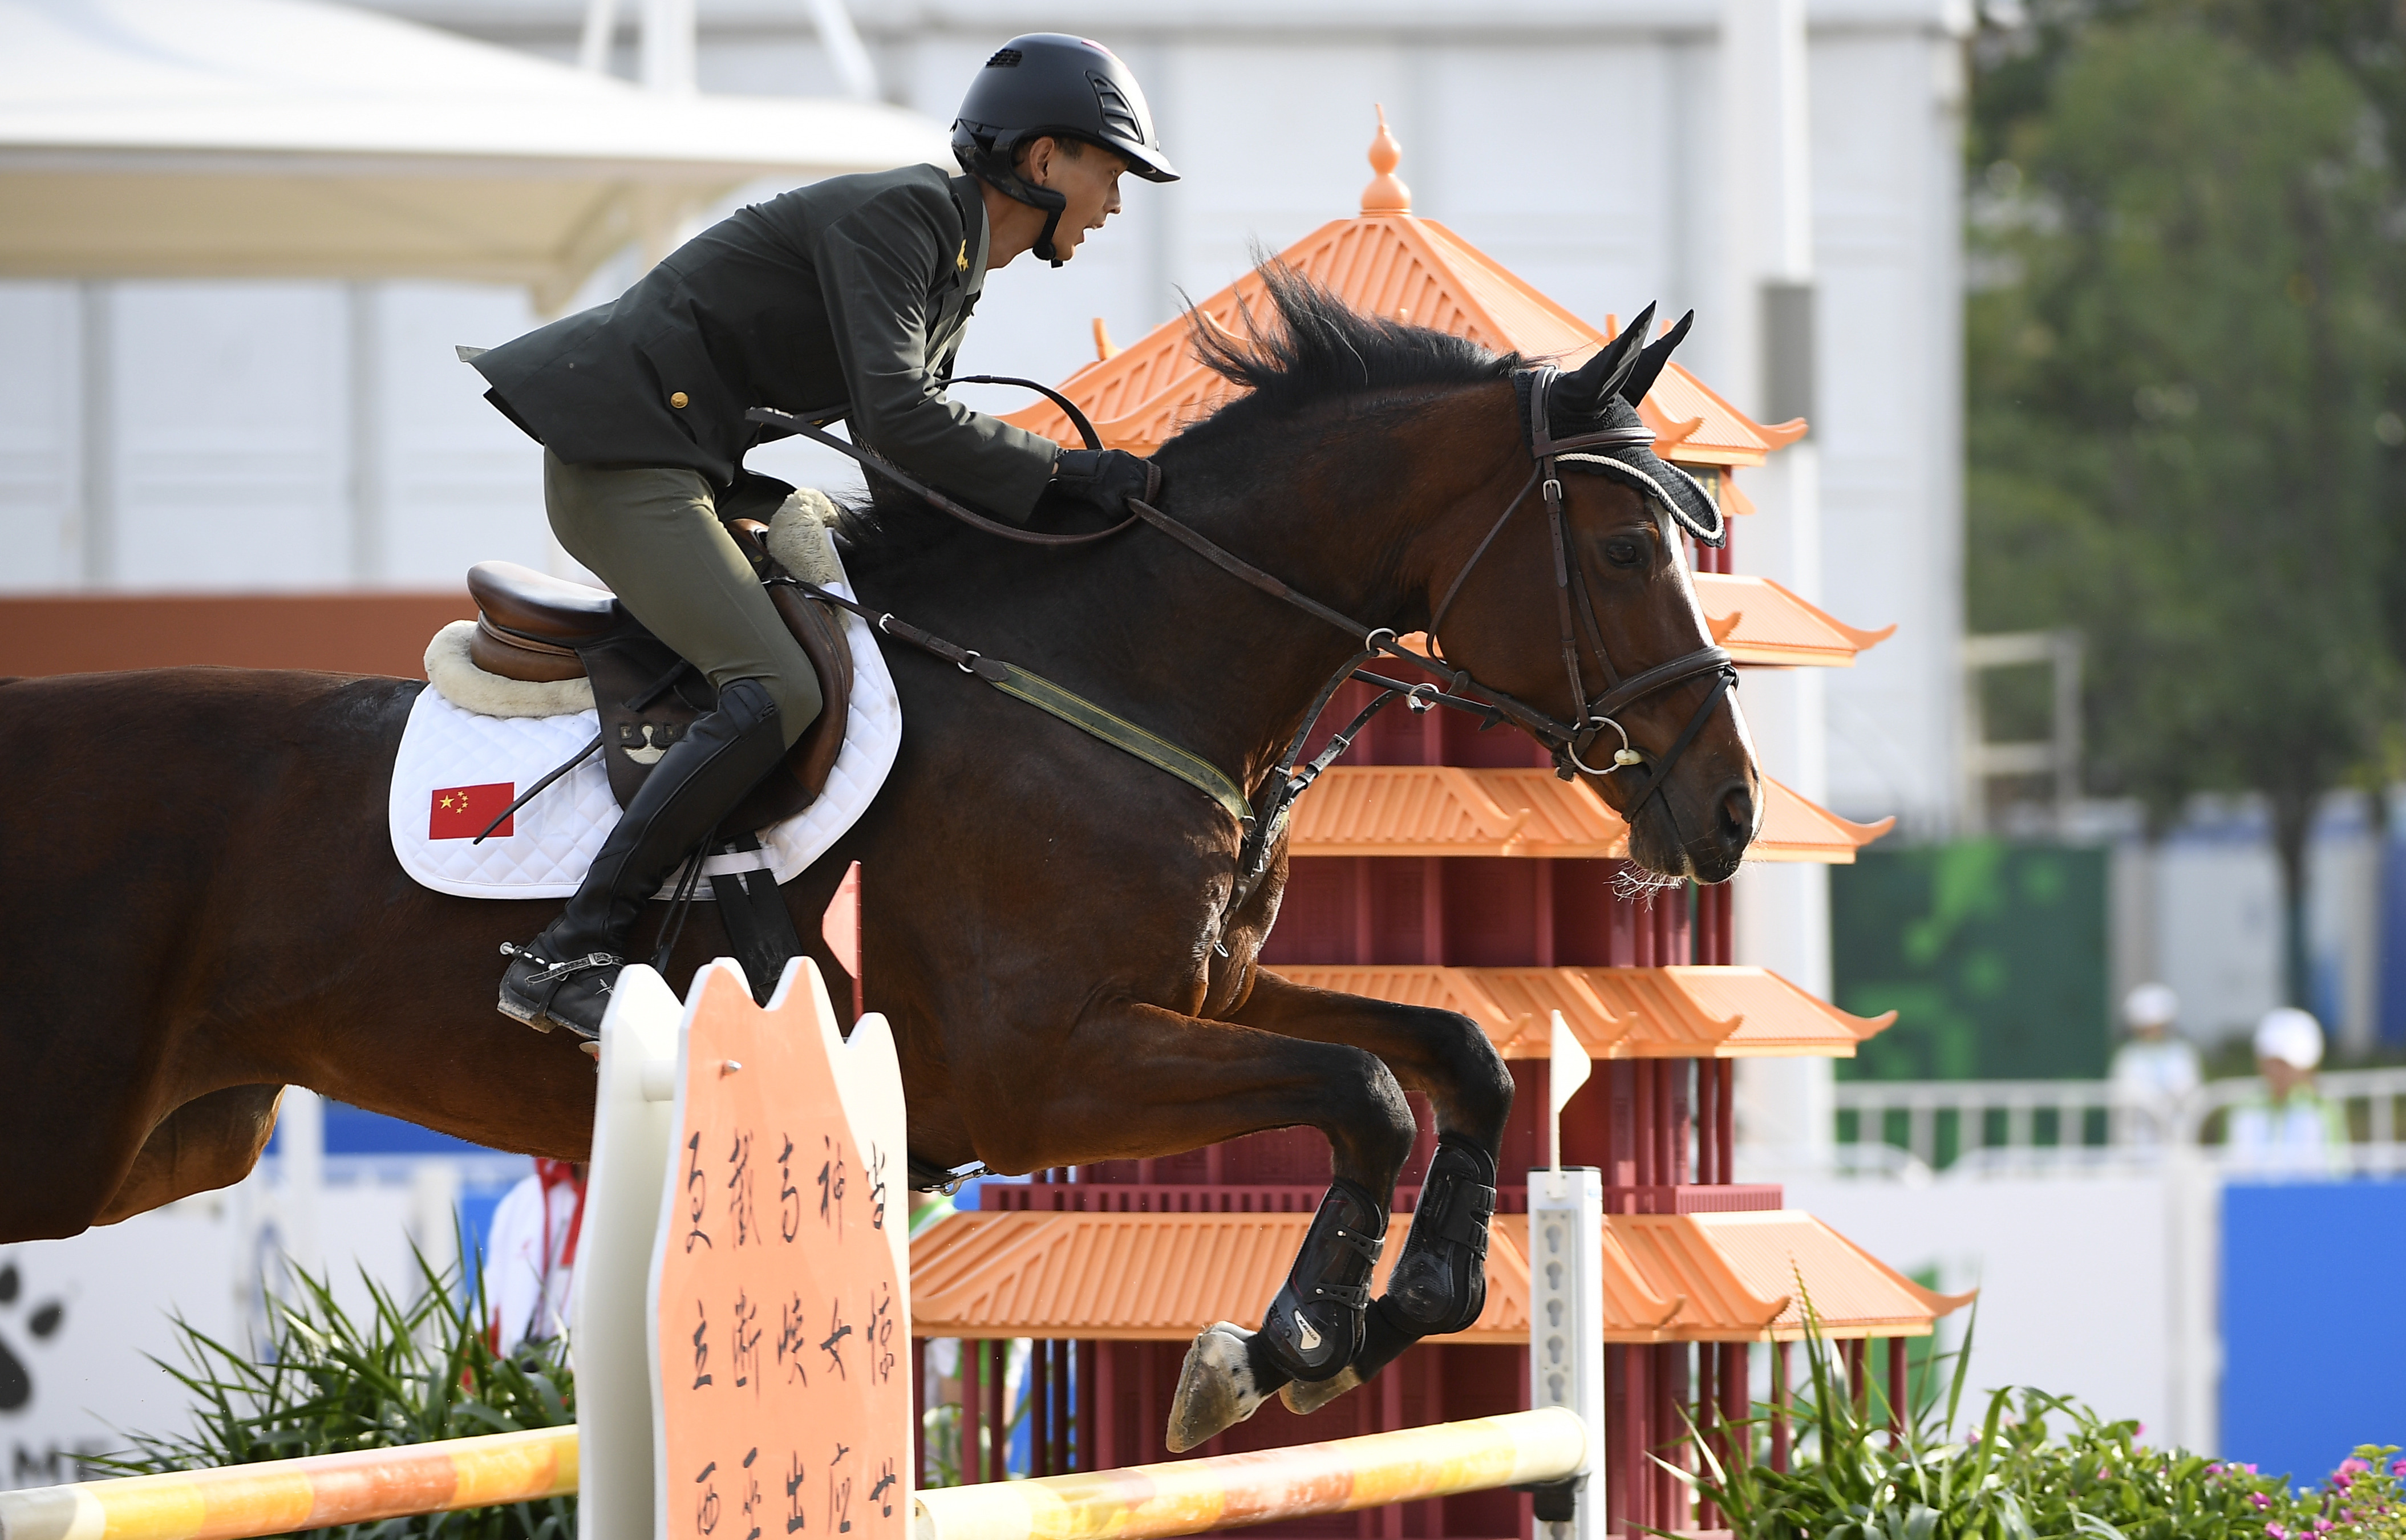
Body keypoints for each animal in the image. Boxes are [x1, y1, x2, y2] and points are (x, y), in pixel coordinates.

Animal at [0, 267, 1761, 1444]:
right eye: (1624, 547)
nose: (1728, 810)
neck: (1113, 668)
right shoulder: (1042, 1071)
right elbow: (1365, 1091)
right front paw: (1281, 1342)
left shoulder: (1200, 995)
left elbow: (1449, 1048)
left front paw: (1415, 1300)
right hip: (69, 1132)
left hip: (177, 1136)